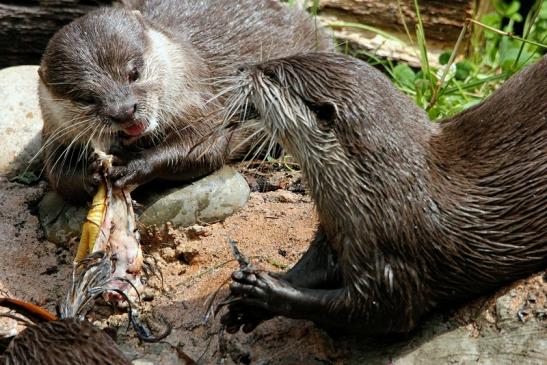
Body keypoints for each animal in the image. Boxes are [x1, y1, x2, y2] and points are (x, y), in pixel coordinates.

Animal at [38, 0, 332, 202]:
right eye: (85, 98)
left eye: (133, 73)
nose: (124, 111)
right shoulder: (55, 133)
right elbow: (56, 175)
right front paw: (89, 174)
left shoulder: (203, 104)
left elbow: (207, 147)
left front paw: (134, 164)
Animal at [222, 52, 547, 334]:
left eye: (271, 74)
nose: (242, 67)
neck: (378, 190)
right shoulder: (336, 231)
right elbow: (312, 266)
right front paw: (250, 296)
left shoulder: (397, 256)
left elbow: (378, 311)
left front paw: (265, 291)